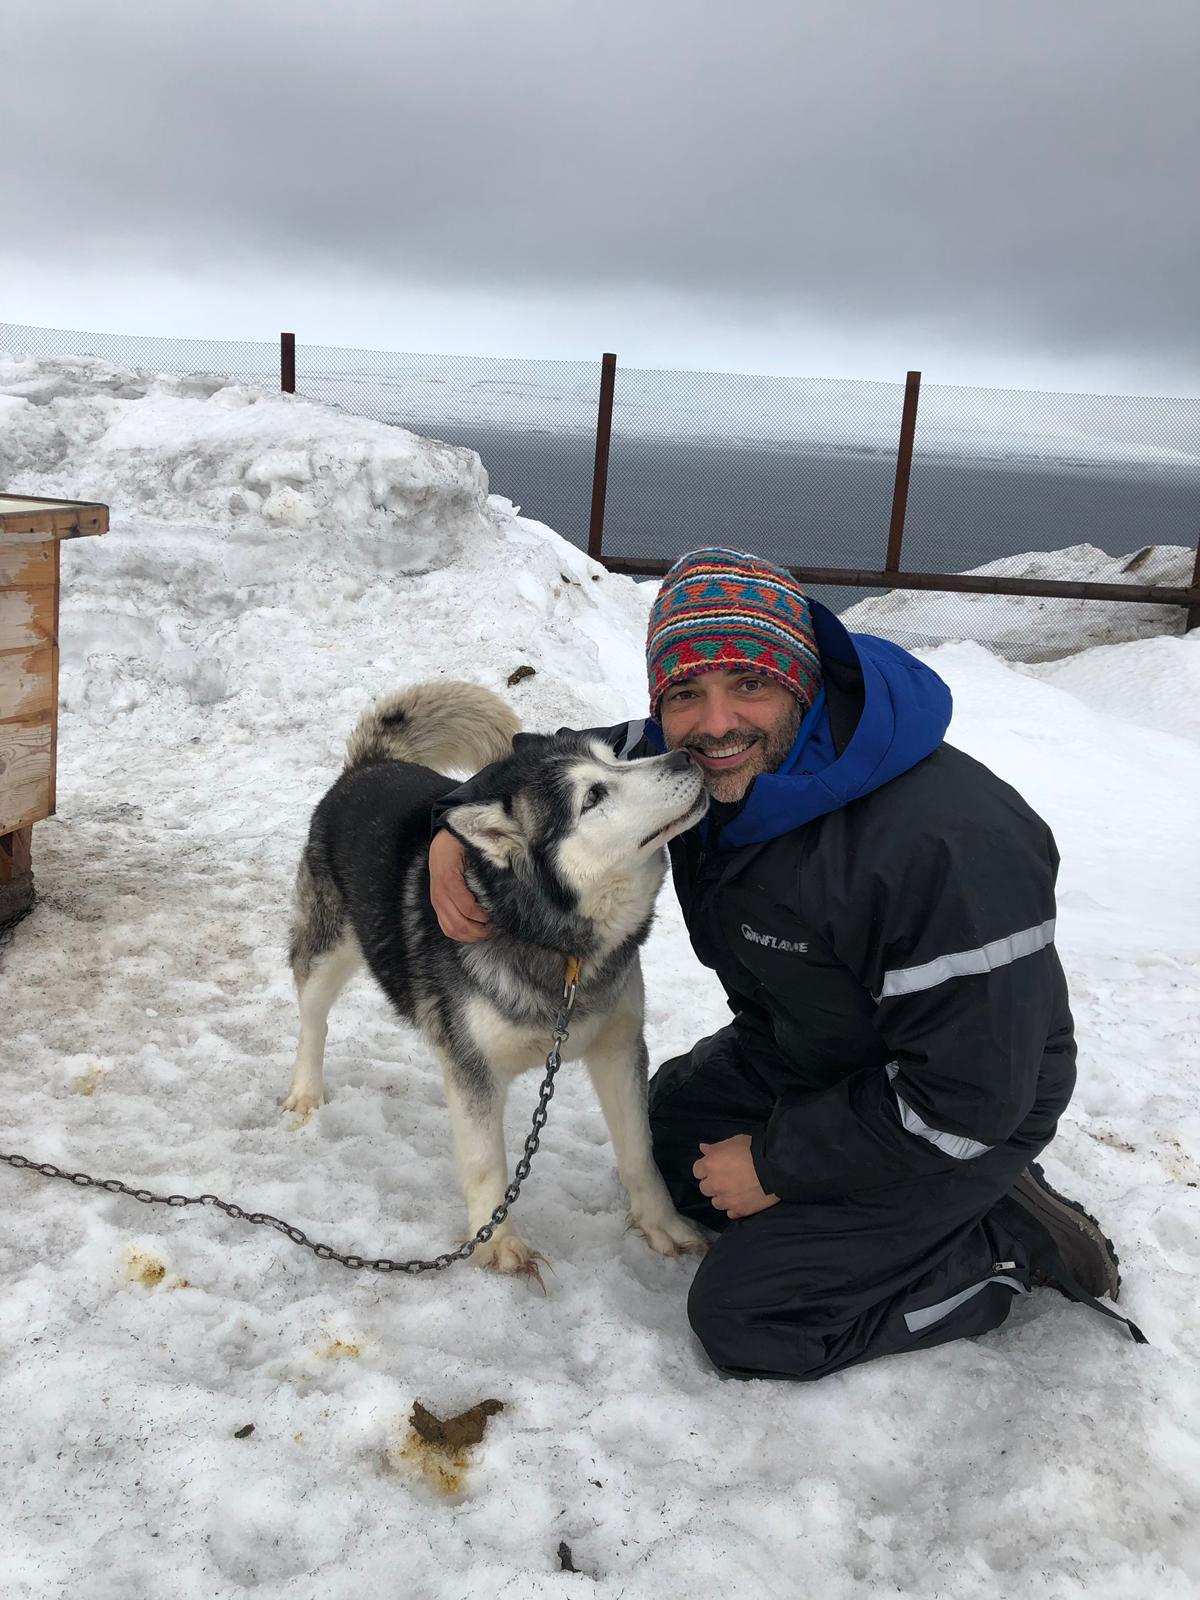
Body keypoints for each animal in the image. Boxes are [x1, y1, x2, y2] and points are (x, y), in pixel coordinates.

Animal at [284, 681, 710, 1280]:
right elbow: (487, 1160)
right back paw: (305, 1091)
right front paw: (497, 1244)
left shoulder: (619, 1046)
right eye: (593, 796)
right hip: (329, 950)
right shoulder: (475, 1069)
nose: (684, 755)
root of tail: (372, 764)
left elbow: (639, 1151)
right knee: (313, 1018)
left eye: (616, 756)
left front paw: (663, 1226)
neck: (557, 946)